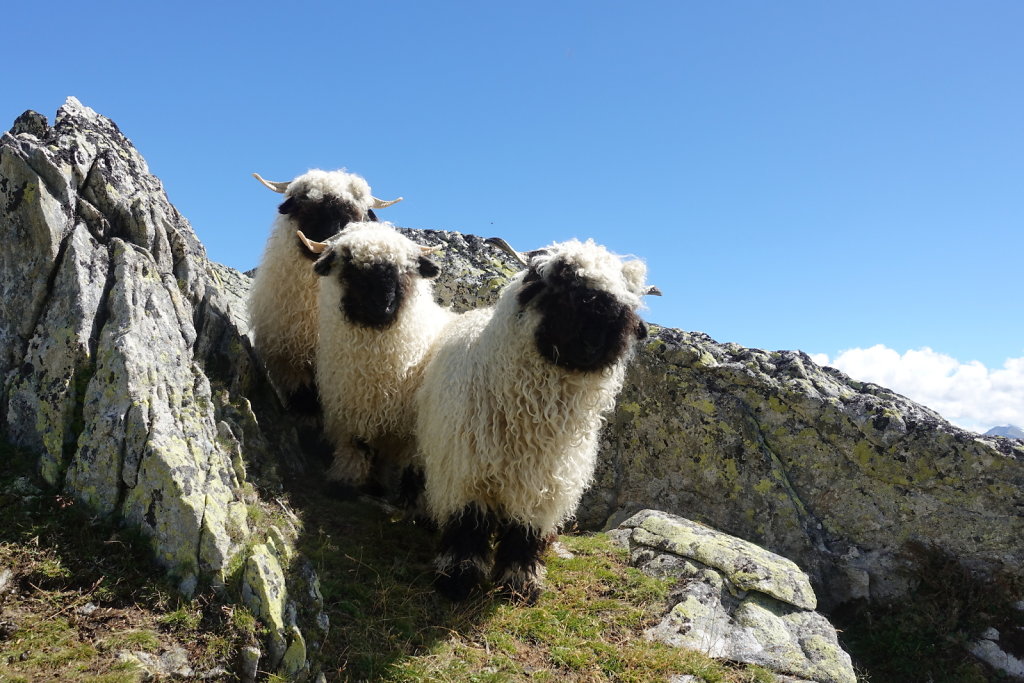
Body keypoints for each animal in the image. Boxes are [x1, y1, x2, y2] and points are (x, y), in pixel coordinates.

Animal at [299, 222, 454, 493]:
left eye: (406, 269)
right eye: (350, 266)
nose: (382, 306)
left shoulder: (412, 434)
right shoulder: (354, 411)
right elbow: (357, 447)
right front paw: (347, 482)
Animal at [411, 237, 651, 602]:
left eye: (627, 300)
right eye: (565, 286)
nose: (598, 340)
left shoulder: (546, 486)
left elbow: (525, 533)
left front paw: (521, 584)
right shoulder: (467, 473)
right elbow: (467, 526)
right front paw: (458, 579)